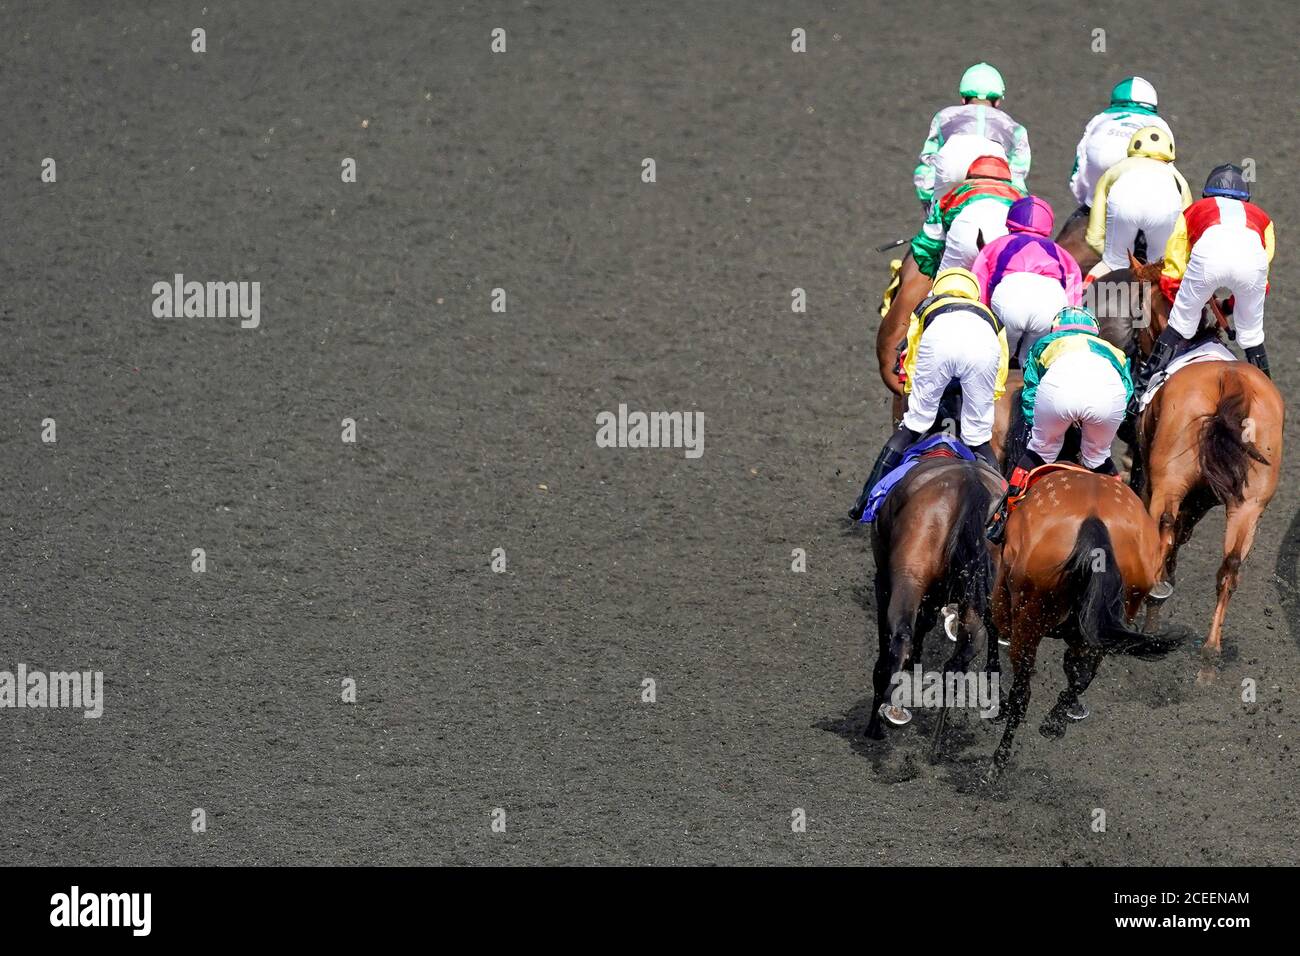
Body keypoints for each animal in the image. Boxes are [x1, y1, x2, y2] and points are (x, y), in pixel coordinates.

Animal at [863, 452, 1003, 743]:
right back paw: (936, 741)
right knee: (962, 655)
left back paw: (884, 716)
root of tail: (970, 485)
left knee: (900, 636)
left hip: (909, 577)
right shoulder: (941, 593)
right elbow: (926, 623)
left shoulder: (883, 581)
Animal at [982, 468, 1170, 780]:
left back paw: (997, 761)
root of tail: (1094, 524)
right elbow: (1076, 673)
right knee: (1082, 675)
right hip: (1102, 625)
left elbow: (990, 623)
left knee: (1022, 694)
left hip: (1027, 624)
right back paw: (1054, 721)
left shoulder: (1002, 597)